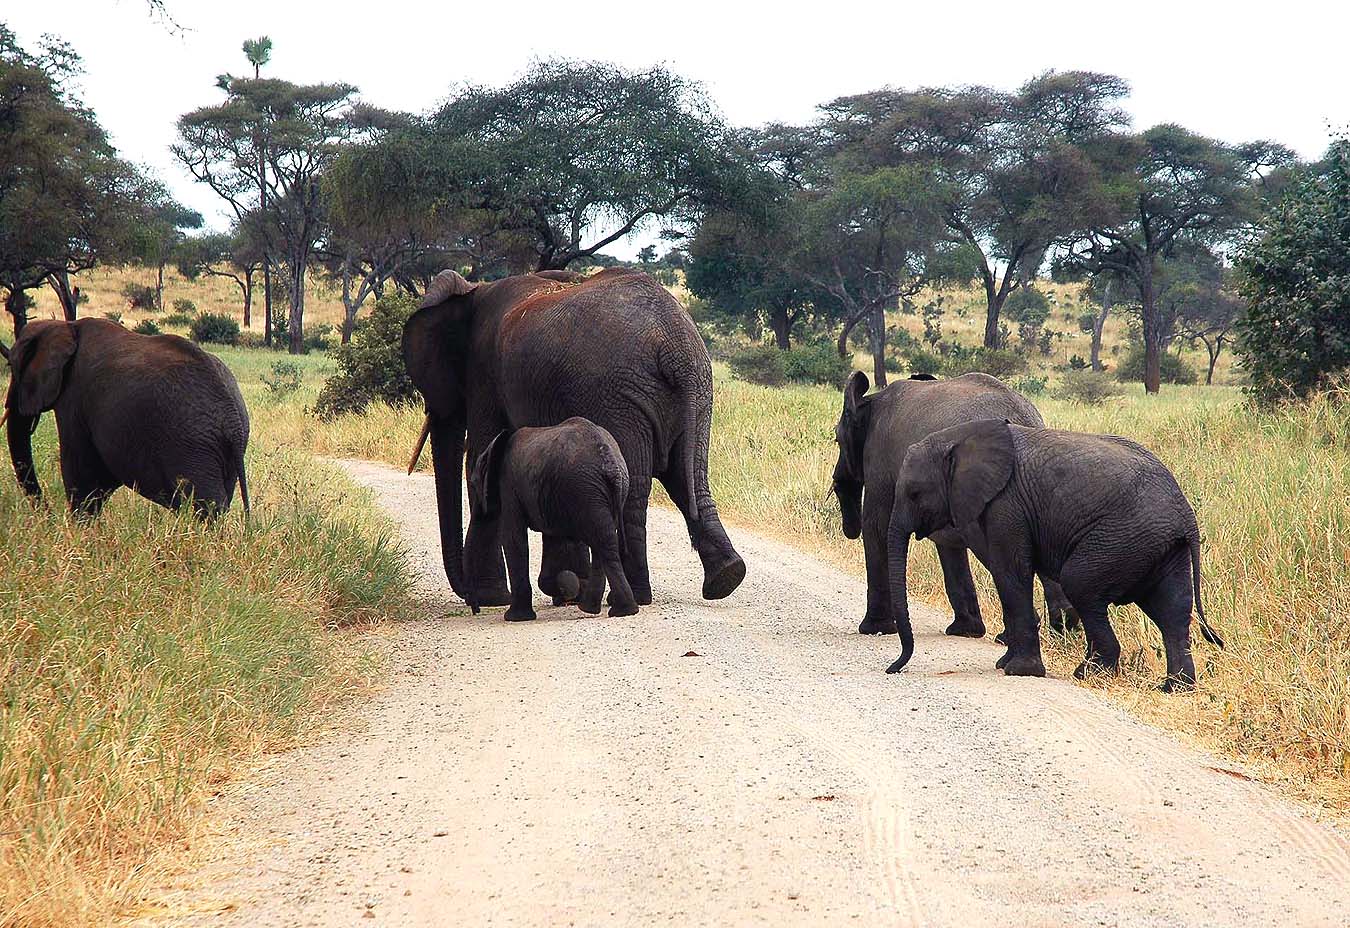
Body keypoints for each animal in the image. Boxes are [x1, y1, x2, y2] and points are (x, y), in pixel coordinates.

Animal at [4, 318, 250, 519]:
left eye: (12, 366)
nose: (49, 515)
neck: (66, 327)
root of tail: (233, 419)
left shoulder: (74, 400)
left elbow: (81, 473)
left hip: (193, 447)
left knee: (205, 507)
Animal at [468, 417, 637, 621]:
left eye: (473, 484)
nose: (475, 610)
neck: (495, 447)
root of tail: (611, 462)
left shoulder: (509, 486)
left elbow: (513, 539)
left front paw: (515, 618)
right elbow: (552, 539)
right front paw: (567, 584)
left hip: (583, 490)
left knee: (601, 540)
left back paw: (609, 609)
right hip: (595, 491)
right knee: (604, 542)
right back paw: (610, 610)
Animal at [832, 370, 1076, 638]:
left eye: (836, 440)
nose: (849, 530)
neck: (870, 400)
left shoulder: (879, 459)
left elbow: (877, 527)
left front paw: (874, 629)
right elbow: (947, 542)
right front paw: (966, 631)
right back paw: (1064, 627)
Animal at [884, 419, 1225, 691]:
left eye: (914, 493)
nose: (892, 669)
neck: (958, 437)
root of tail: (1187, 516)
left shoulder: (1006, 505)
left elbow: (1011, 573)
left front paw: (1019, 672)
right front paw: (1005, 664)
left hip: (1124, 537)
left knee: (1081, 584)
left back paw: (1089, 673)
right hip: (1163, 546)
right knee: (1173, 609)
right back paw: (1174, 688)